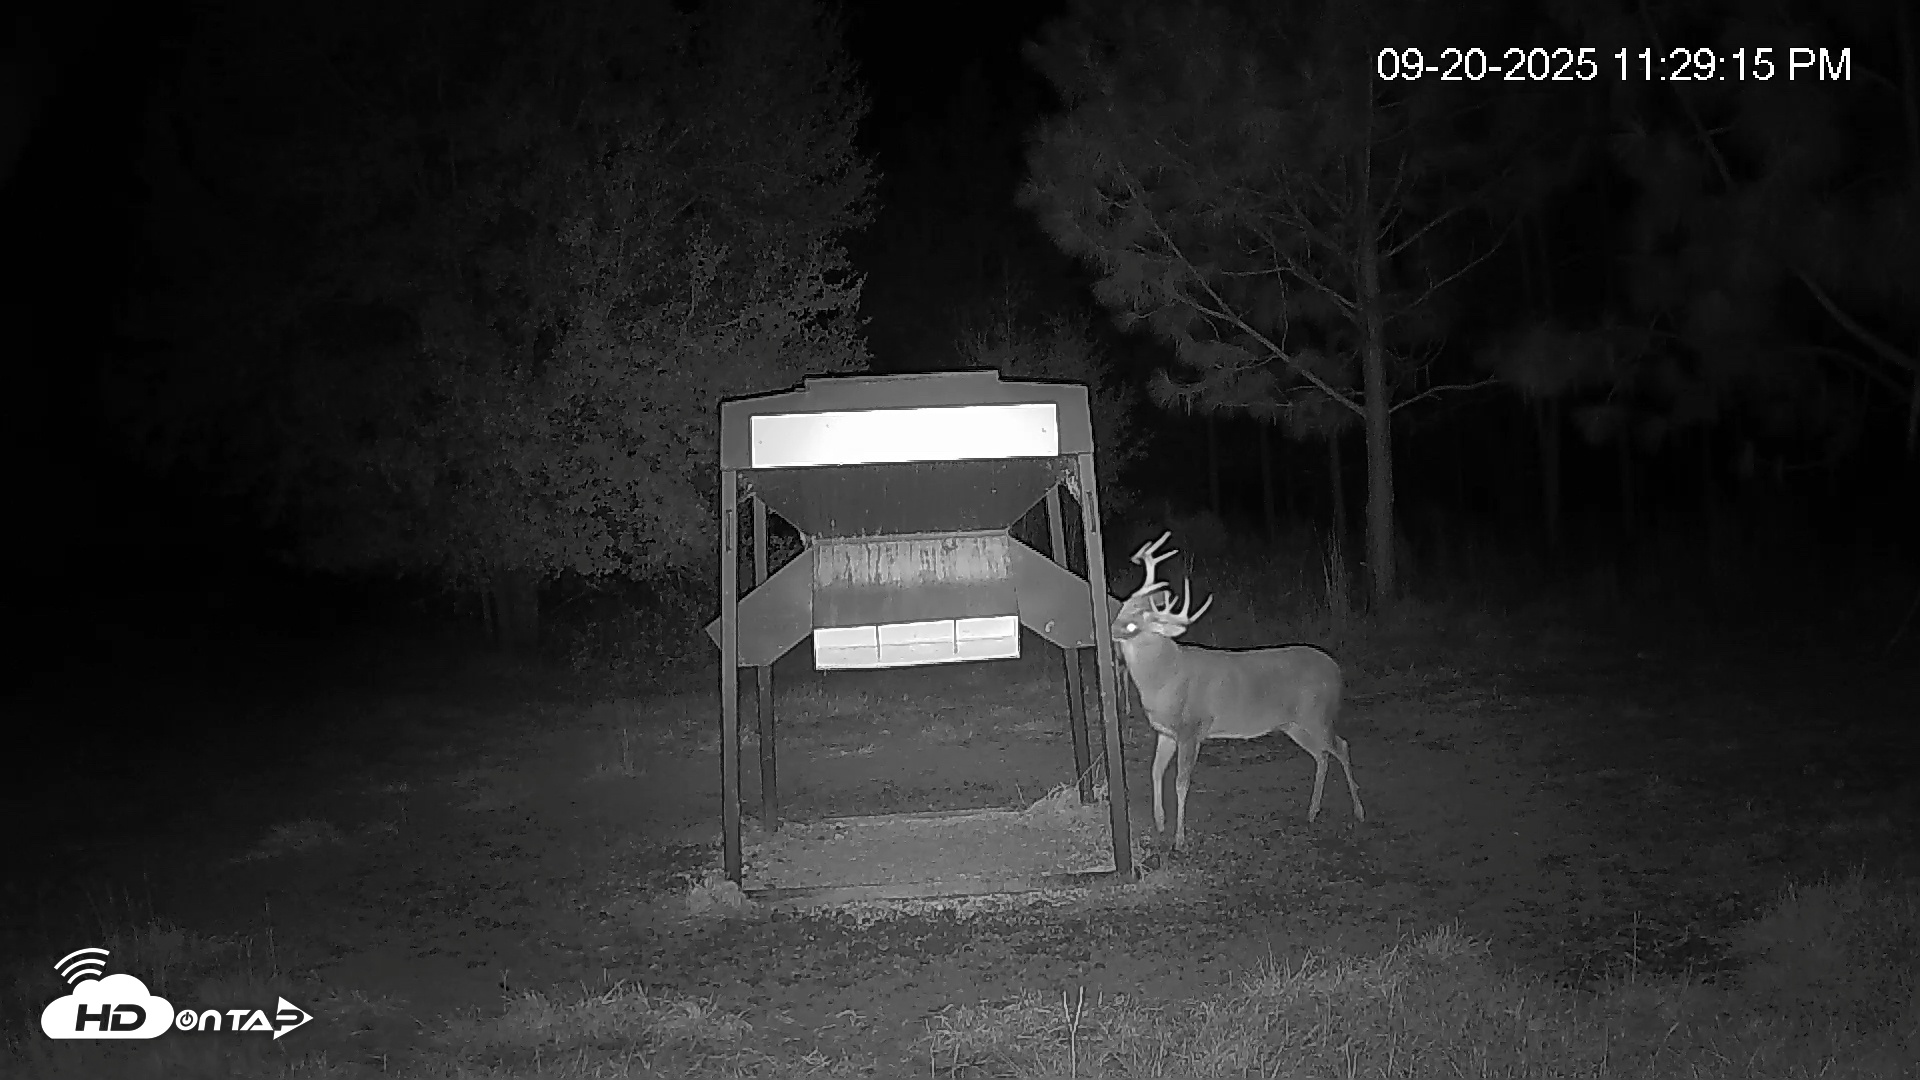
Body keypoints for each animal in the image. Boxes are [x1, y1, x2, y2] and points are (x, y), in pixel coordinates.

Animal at [1111, 531, 1365, 849]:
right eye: (1124, 605)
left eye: (1136, 623)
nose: (1112, 628)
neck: (1165, 676)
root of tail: (1337, 670)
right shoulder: (1165, 731)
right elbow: (1155, 771)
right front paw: (1159, 823)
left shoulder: (1192, 728)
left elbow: (1181, 782)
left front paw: (1179, 838)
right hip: (1293, 724)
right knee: (1322, 754)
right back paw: (1312, 812)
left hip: (1317, 715)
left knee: (1341, 746)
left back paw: (1358, 812)